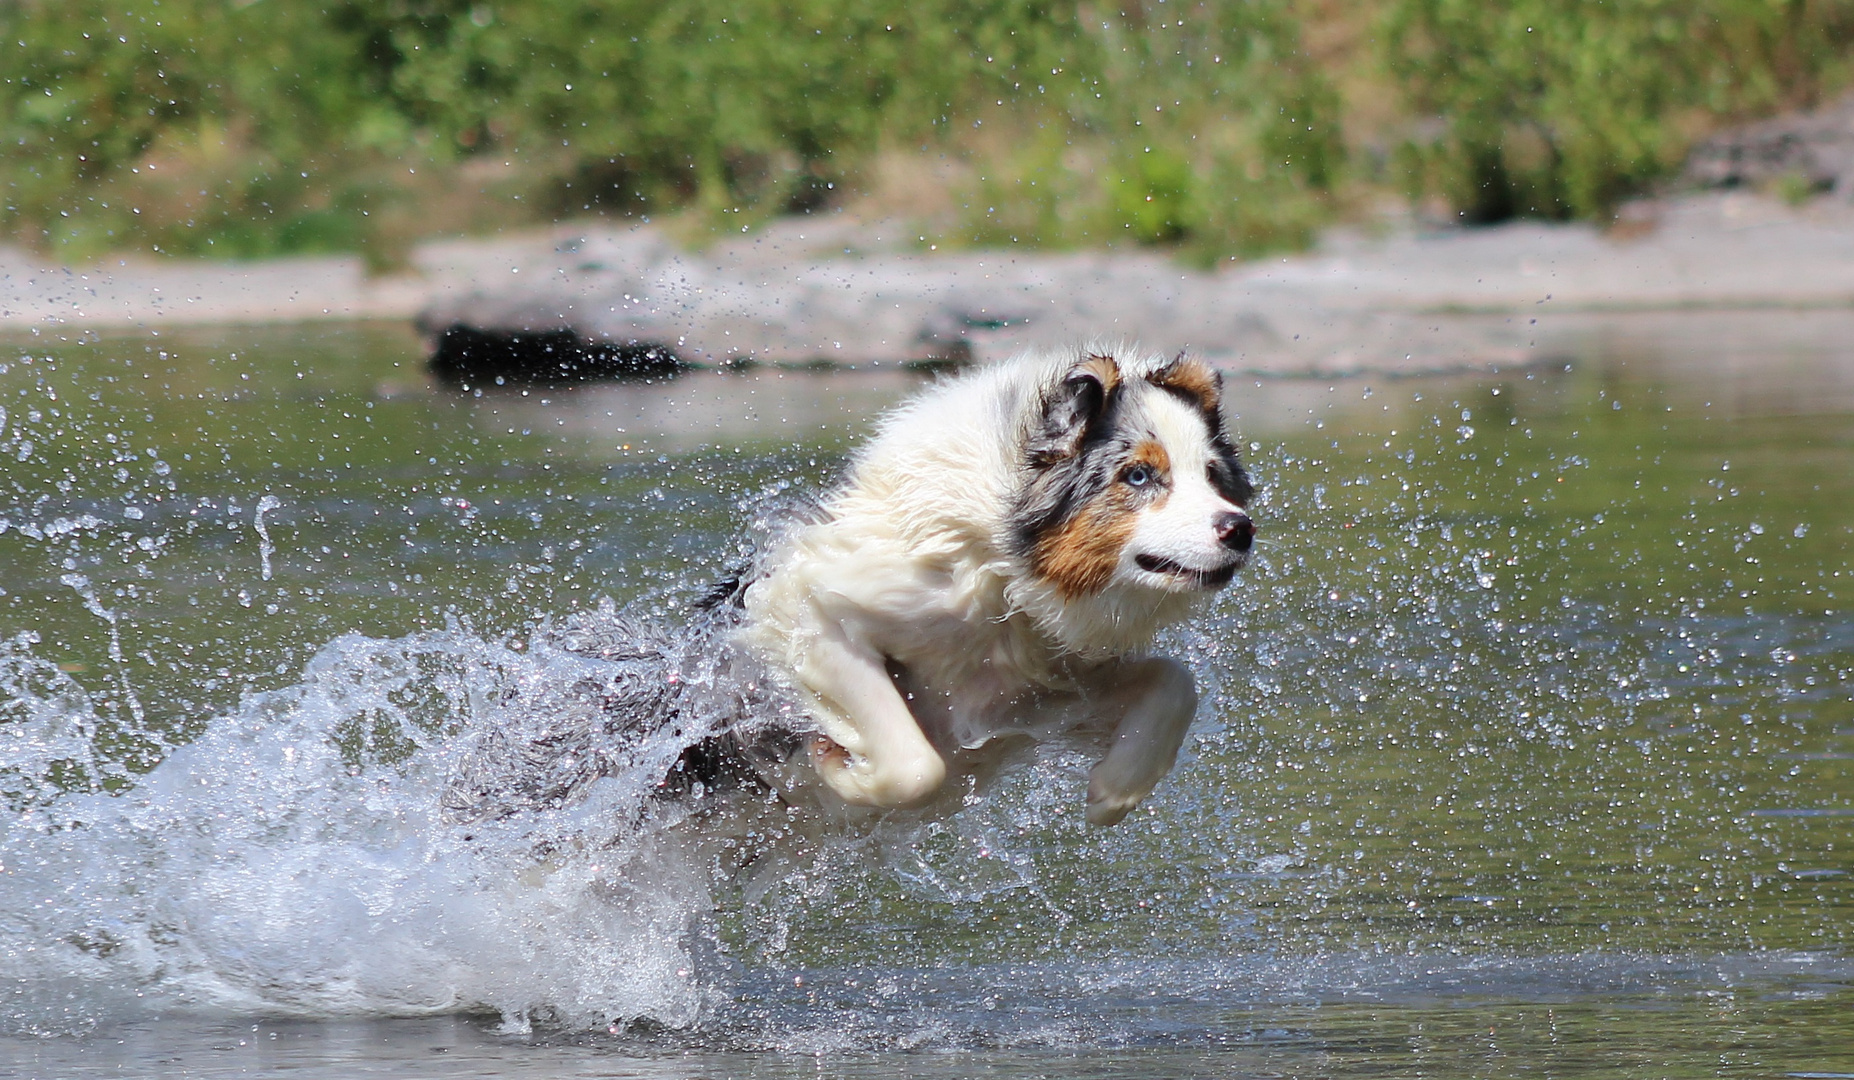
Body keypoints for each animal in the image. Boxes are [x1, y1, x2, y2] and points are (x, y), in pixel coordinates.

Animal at [741, 348, 1260, 829]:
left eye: (1212, 474)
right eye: (1138, 475)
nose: (1240, 529)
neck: (1006, 574)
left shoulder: (1045, 694)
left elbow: (1176, 681)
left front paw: (1115, 791)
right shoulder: (811, 603)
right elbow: (918, 768)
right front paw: (842, 771)